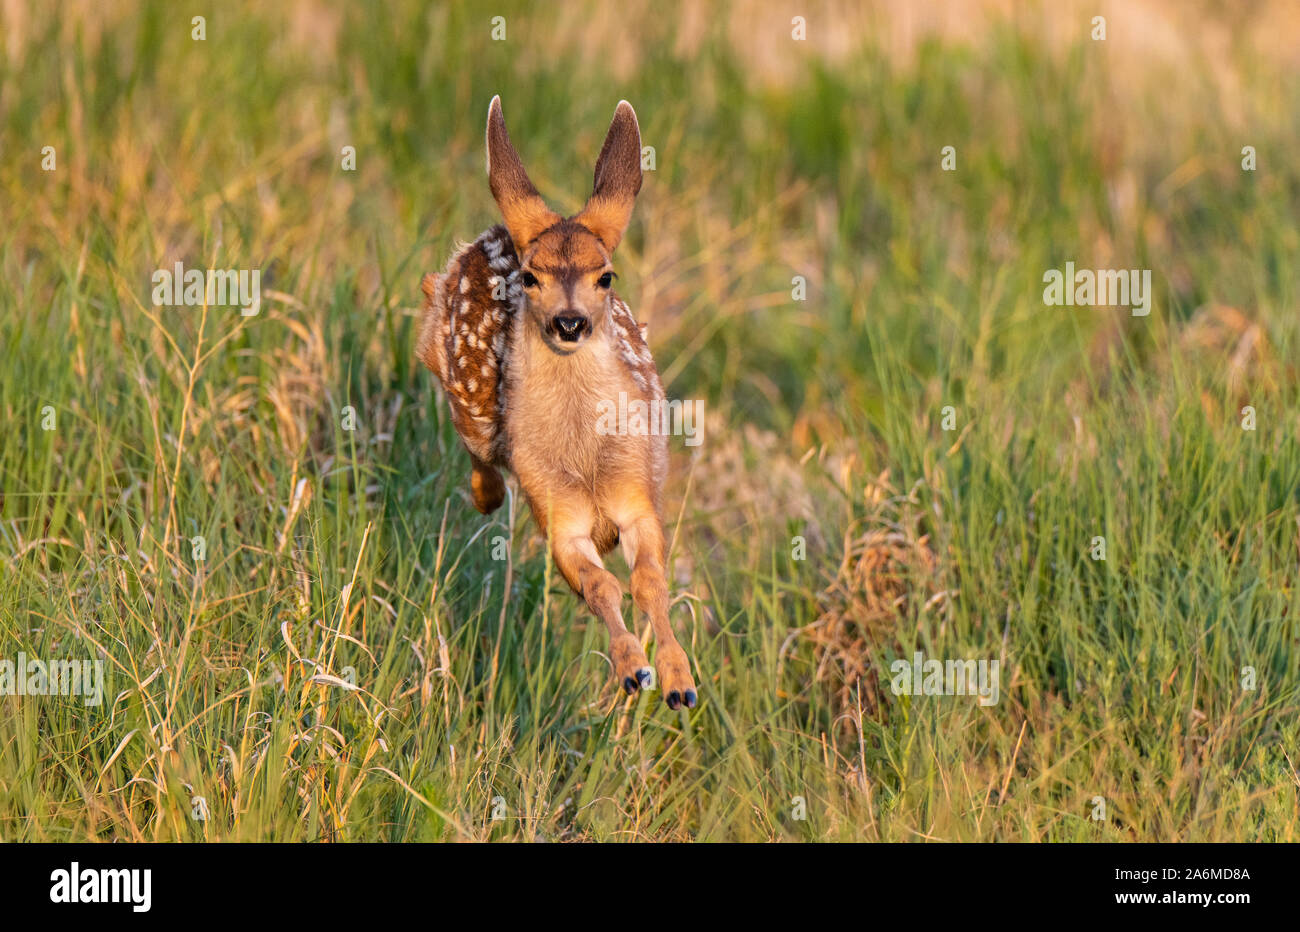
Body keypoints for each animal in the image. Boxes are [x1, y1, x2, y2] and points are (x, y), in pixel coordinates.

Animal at [417, 97, 697, 710]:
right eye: (531, 276)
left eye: (606, 275)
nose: (570, 322)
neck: (586, 460)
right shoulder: (556, 511)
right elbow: (600, 586)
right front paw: (632, 670)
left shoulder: (638, 493)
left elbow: (649, 582)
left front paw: (679, 682)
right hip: (466, 396)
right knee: (474, 441)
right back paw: (488, 497)